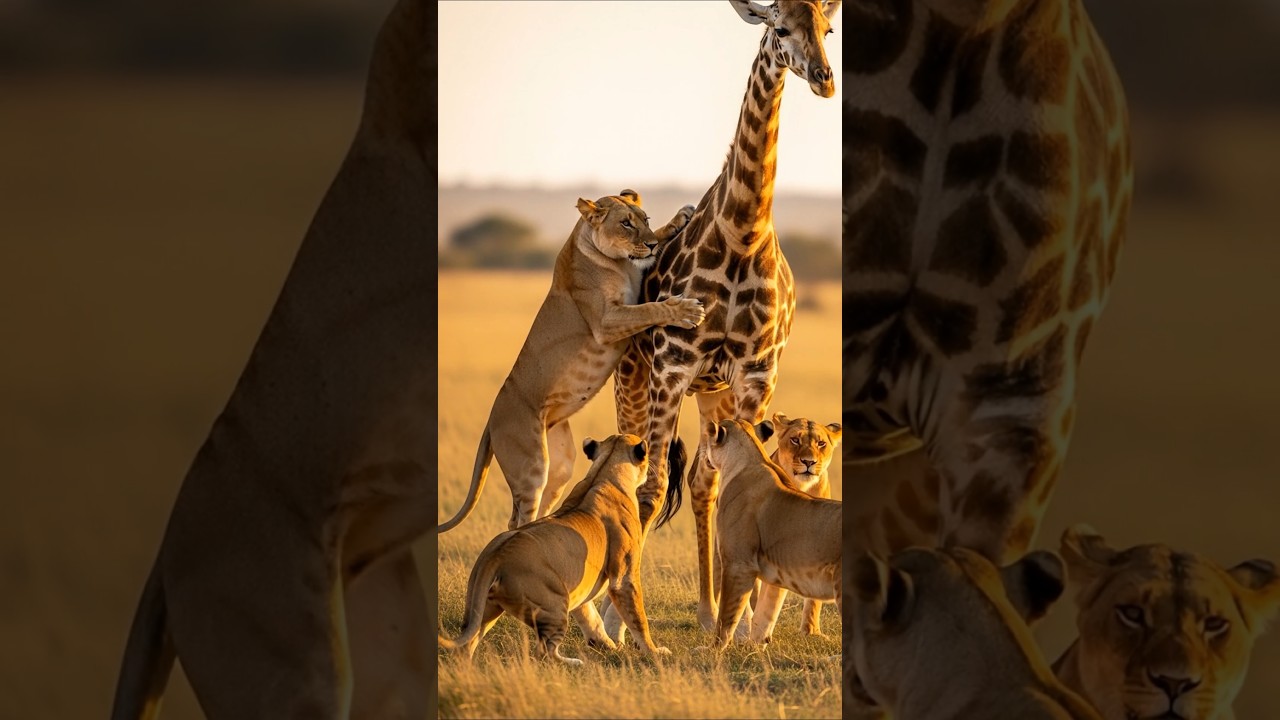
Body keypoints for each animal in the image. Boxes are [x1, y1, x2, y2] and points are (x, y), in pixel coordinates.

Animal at [437, 190, 704, 534]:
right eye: (625, 224)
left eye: (644, 220)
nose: (649, 245)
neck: (616, 262)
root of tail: (491, 421)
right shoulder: (606, 320)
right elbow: (650, 309)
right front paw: (686, 311)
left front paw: (677, 221)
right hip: (531, 463)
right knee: (518, 515)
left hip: (561, 463)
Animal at [438, 434, 671, 665]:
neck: (604, 473)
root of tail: (494, 556)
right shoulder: (624, 577)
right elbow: (637, 618)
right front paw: (654, 652)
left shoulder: (579, 584)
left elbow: (589, 615)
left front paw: (608, 646)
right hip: (555, 604)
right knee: (544, 653)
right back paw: (575, 663)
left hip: (485, 608)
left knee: (468, 643)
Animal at [699, 418, 842, 650]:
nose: (702, 456)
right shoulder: (774, 572)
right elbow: (765, 613)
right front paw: (754, 648)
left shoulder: (739, 564)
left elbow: (726, 617)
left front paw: (713, 650)